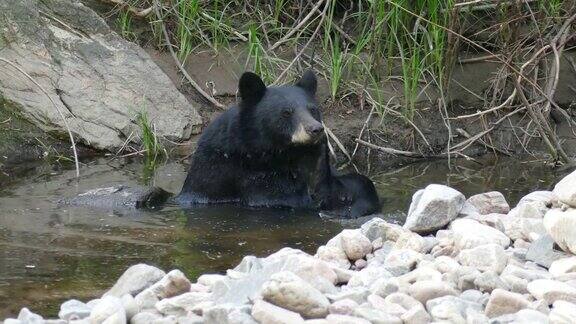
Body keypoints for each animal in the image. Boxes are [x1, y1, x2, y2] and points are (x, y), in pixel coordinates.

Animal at [178, 71, 380, 218]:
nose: (316, 129)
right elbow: (281, 197)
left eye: (313, 109)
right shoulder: (238, 172)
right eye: (286, 112)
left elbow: (351, 184)